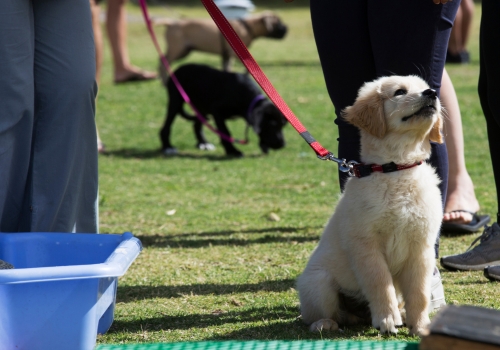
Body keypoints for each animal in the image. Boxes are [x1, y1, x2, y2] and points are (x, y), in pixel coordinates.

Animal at [296, 75, 442, 334]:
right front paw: (387, 319)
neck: (397, 169)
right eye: (399, 92)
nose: (432, 93)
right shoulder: (366, 244)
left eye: (425, 87)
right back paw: (325, 323)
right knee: (322, 314)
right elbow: (380, 283)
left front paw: (420, 325)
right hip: (318, 283)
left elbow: (420, 293)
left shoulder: (421, 247)